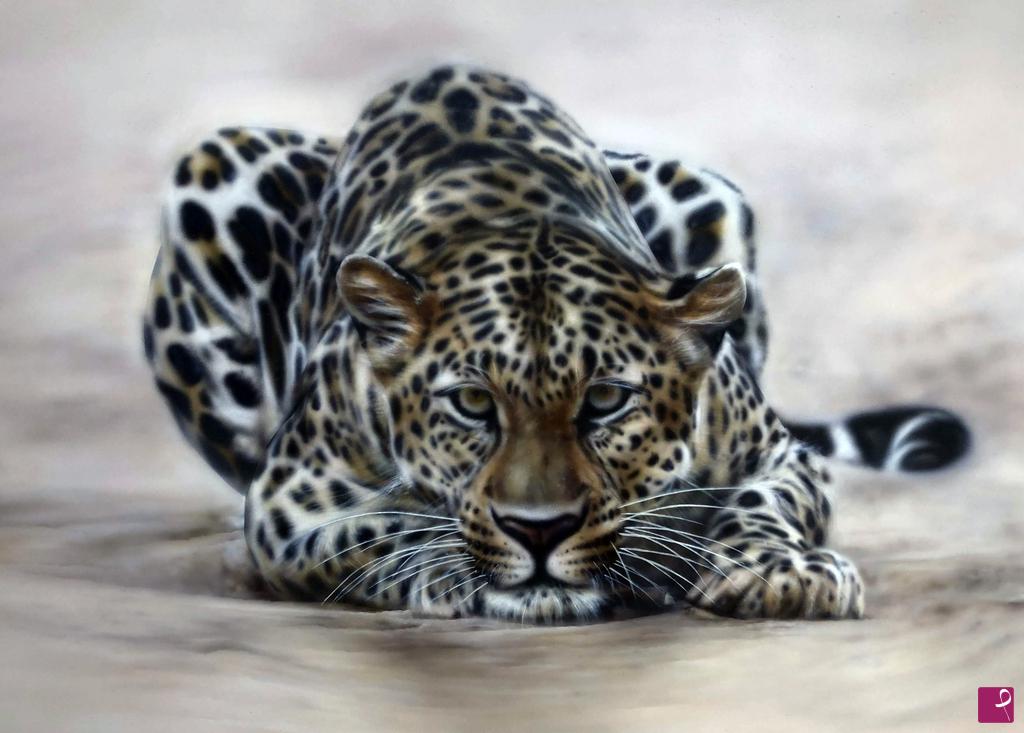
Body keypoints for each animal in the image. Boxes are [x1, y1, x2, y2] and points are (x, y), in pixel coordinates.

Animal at [143, 64, 970, 623]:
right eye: (472, 403)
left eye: (605, 400)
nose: (539, 531)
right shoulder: (289, 499)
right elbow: (376, 527)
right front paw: (449, 568)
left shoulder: (777, 453)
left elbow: (765, 502)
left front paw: (779, 570)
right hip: (213, 173)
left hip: (709, 194)